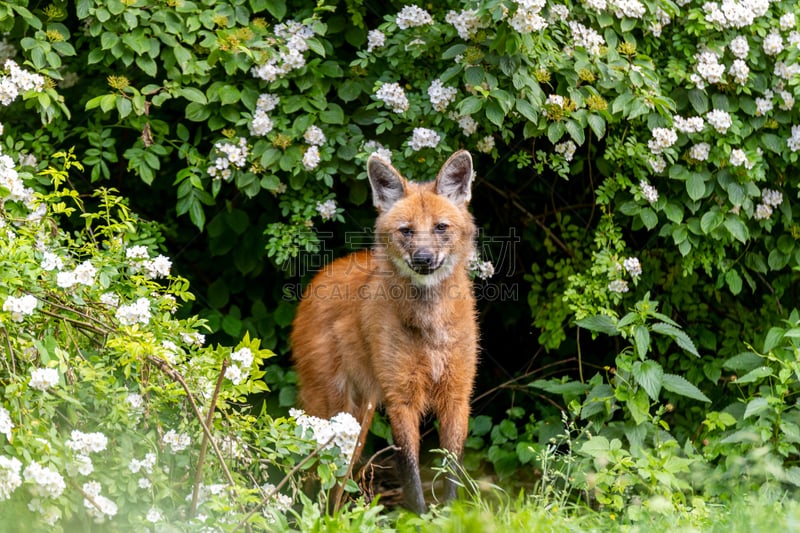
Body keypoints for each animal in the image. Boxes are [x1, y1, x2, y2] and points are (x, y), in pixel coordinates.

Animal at [290, 149, 478, 512]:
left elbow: (452, 467)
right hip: (336, 410)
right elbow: (410, 469)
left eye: (440, 227)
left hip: (358, 417)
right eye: (406, 231)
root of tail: (319, 278)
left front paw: (451, 514)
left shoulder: (456, 394)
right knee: (318, 471)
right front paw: (420, 516)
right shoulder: (400, 396)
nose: (423, 258)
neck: (430, 326)